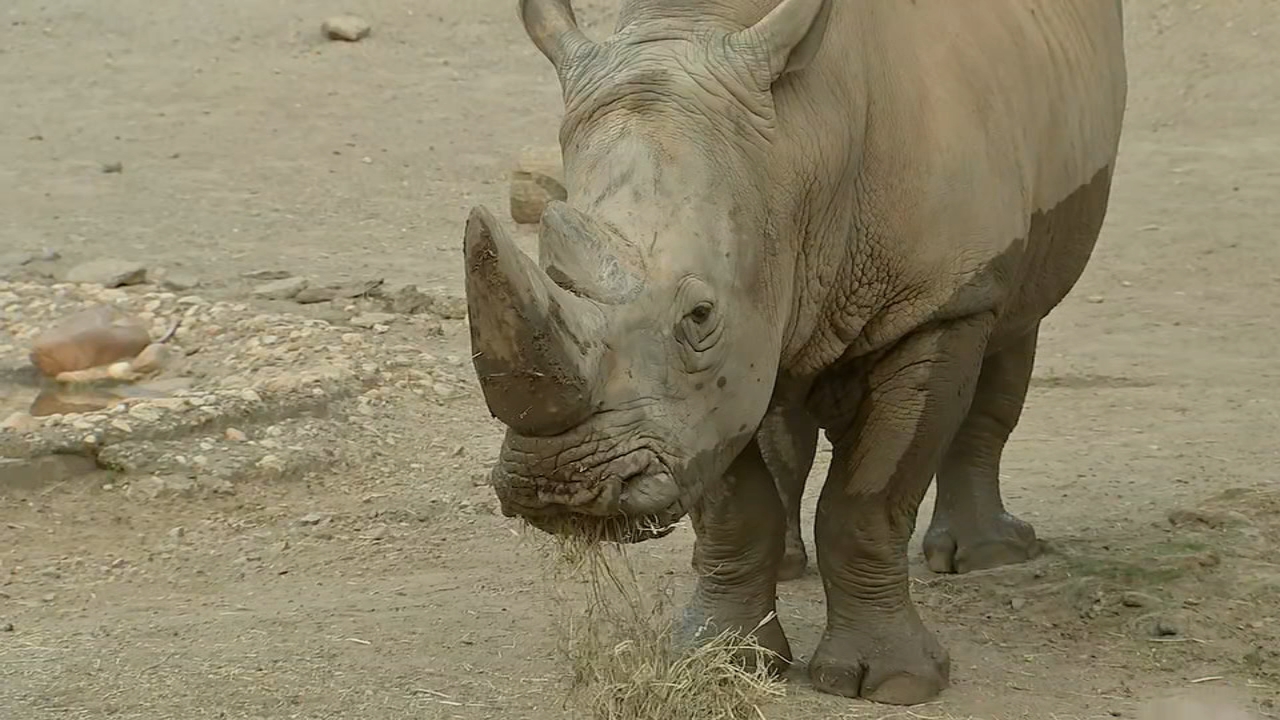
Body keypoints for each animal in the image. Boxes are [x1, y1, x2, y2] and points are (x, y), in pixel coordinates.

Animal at [463, 0, 1127, 705]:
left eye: (700, 316)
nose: (559, 488)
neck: (794, 153)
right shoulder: (718, 383)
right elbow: (735, 500)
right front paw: (719, 659)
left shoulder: (939, 299)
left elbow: (867, 502)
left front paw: (891, 684)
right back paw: (784, 565)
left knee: (1014, 327)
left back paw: (989, 556)